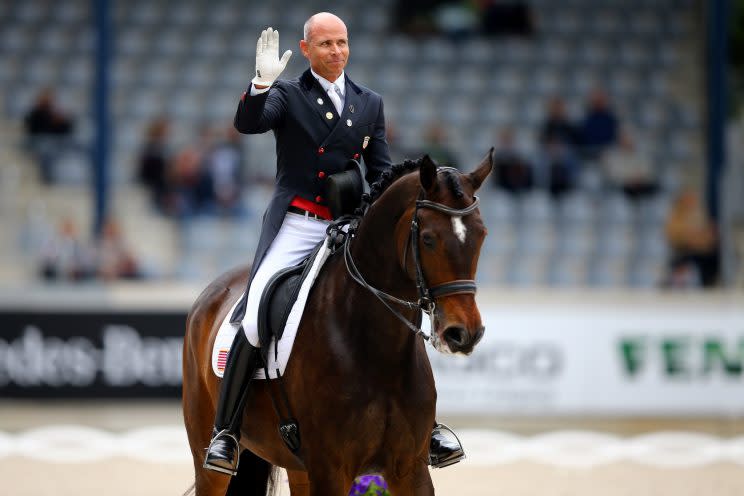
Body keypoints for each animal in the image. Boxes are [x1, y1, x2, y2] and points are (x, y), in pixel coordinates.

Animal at [182, 152, 492, 496]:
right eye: (428, 239)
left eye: (481, 234)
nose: (463, 334)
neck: (377, 348)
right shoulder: (330, 469)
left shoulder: (411, 469)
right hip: (208, 457)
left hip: (299, 468)